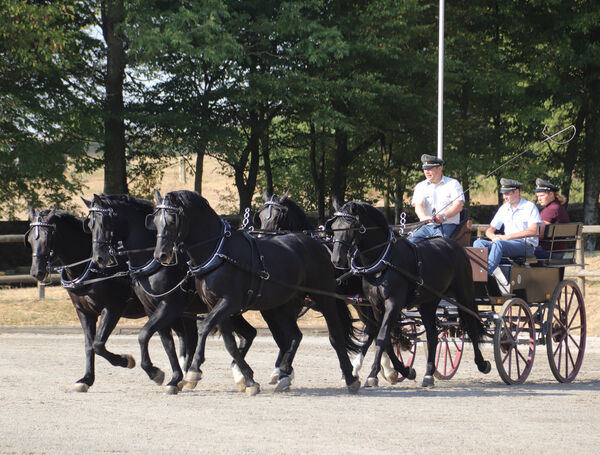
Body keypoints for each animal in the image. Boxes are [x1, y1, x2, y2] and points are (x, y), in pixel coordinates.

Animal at [25, 210, 145, 392]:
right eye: (31, 239)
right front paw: (87, 379)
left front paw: (125, 360)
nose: (36, 272)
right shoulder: (84, 312)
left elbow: (98, 344)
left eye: (48, 239)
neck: (91, 266)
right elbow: (89, 345)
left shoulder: (113, 308)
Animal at [84, 194, 262, 394]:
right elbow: (166, 344)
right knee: (248, 333)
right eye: (90, 224)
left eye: (105, 222)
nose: (98, 258)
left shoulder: (168, 306)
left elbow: (143, 335)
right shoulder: (152, 308)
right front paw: (174, 378)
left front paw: (154, 371)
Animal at [152, 191, 364, 394]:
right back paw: (284, 375)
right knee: (294, 336)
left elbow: (204, 327)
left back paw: (350, 377)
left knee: (335, 334)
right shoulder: (216, 306)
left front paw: (194, 371)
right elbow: (229, 342)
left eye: (172, 220)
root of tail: (318, 245)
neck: (218, 252)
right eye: (155, 221)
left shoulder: (229, 303)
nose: (161, 254)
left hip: (323, 297)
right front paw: (248, 379)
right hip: (282, 306)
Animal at [253, 192, 412, 384]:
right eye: (261, 216)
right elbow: (283, 335)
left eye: (279, 216)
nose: (263, 240)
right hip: (362, 302)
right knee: (374, 328)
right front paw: (282, 370)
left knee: (375, 329)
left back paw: (378, 368)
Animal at [328, 201, 492, 386]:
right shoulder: (376, 305)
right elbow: (385, 339)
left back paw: (482, 363)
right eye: (333, 227)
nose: (337, 259)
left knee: (471, 327)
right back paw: (428, 374)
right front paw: (404, 370)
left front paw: (373, 374)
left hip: (464, 295)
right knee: (433, 335)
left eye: (351, 227)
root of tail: (455, 246)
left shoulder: (393, 303)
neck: (384, 260)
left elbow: (382, 336)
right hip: (428, 302)